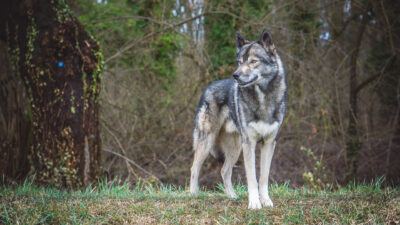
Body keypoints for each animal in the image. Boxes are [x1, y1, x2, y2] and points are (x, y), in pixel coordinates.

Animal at [190, 29, 286, 209]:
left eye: (253, 61)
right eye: (239, 62)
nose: (235, 75)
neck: (262, 98)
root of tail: (207, 88)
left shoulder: (269, 142)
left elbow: (263, 177)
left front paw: (266, 200)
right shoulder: (250, 143)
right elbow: (252, 178)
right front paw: (254, 203)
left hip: (235, 148)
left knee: (224, 170)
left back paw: (232, 196)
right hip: (207, 141)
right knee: (194, 168)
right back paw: (193, 195)